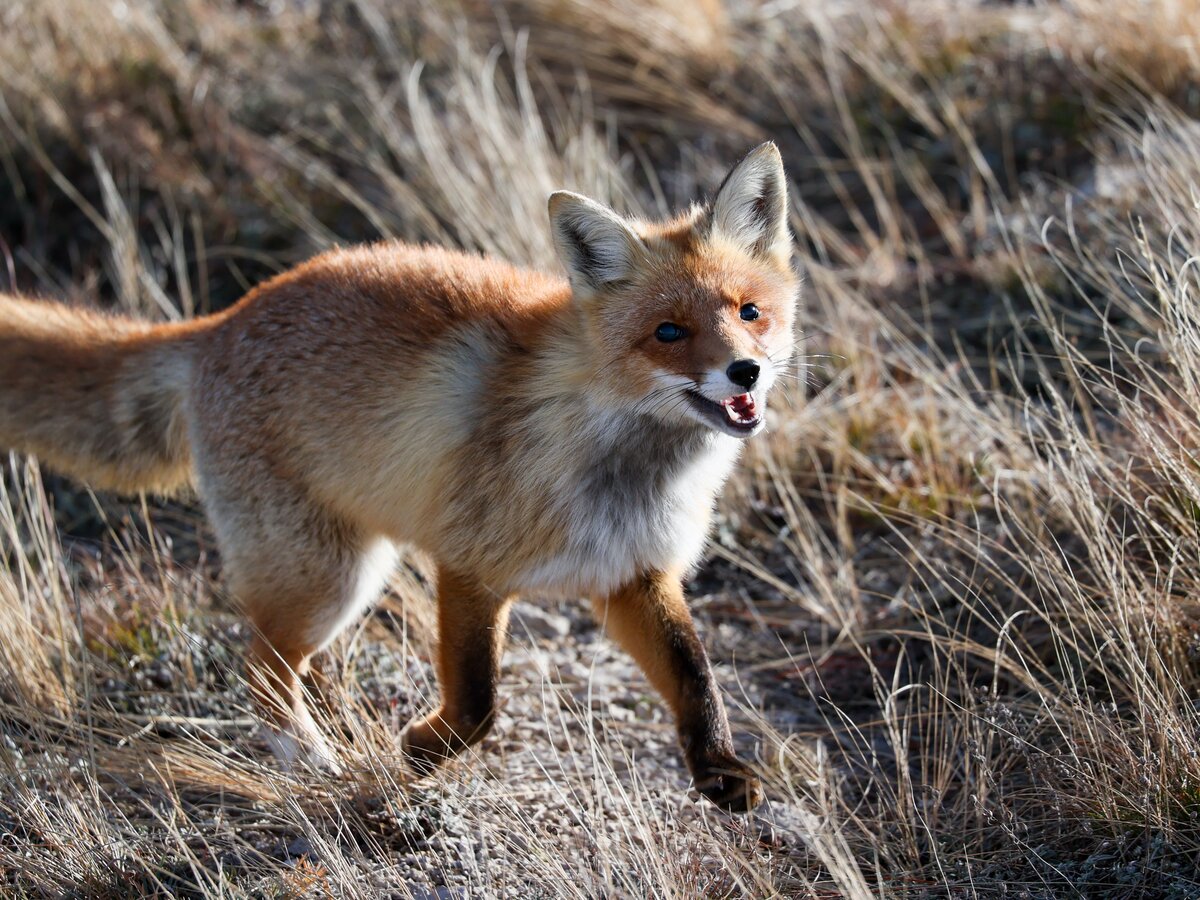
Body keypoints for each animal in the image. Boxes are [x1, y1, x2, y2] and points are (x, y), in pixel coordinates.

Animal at [4, 144, 801, 816]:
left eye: (749, 312)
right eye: (668, 332)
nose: (746, 372)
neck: (617, 461)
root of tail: (220, 321)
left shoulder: (635, 576)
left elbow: (696, 680)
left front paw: (718, 771)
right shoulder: (470, 566)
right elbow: (478, 702)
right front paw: (421, 751)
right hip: (331, 577)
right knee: (258, 667)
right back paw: (309, 761)